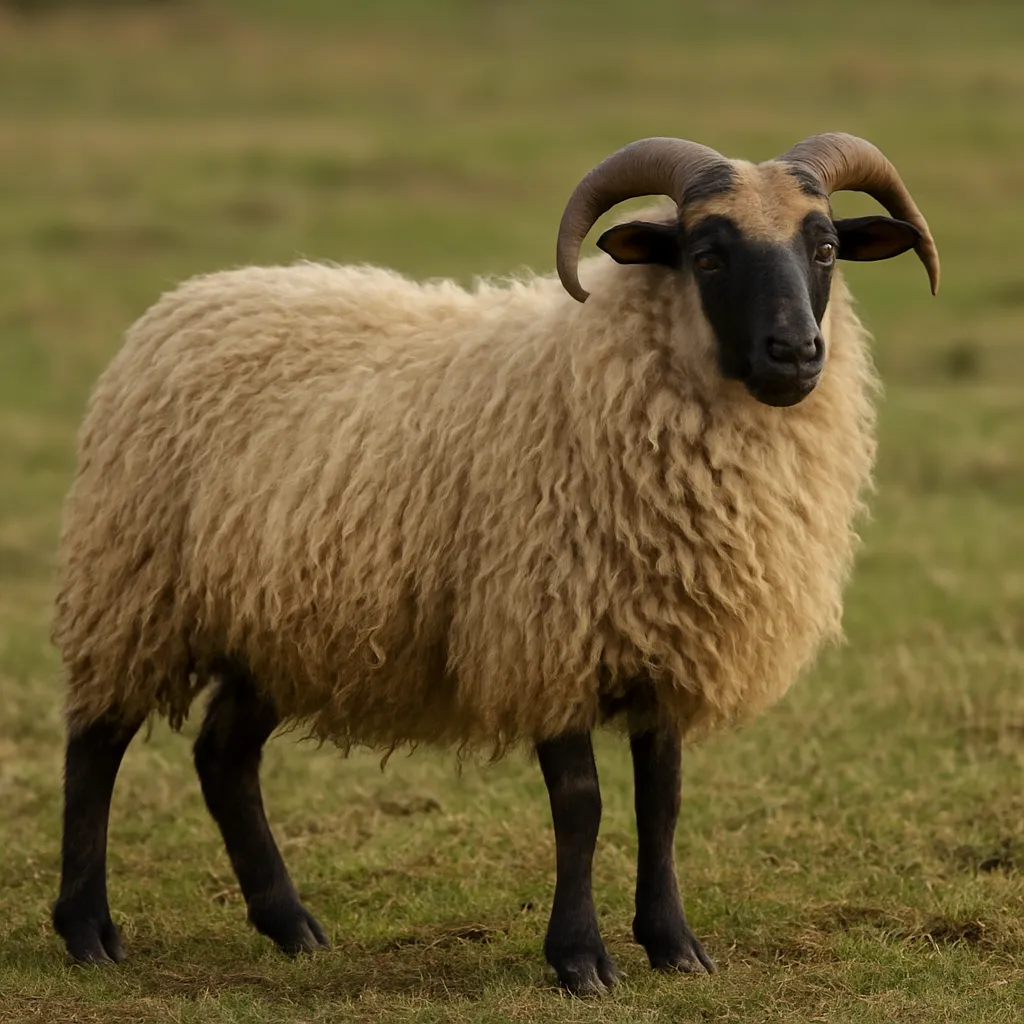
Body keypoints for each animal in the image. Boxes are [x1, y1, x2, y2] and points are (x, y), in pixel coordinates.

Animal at [51, 133, 939, 995]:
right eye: (708, 254)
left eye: (824, 248)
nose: (796, 351)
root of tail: (189, 299)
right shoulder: (547, 634)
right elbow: (581, 805)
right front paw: (580, 961)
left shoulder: (667, 642)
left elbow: (663, 800)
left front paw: (675, 946)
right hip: (132, 584)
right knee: (96, 745)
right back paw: (87, 932)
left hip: (273, 620)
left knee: (223, 757)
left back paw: (290, 926)